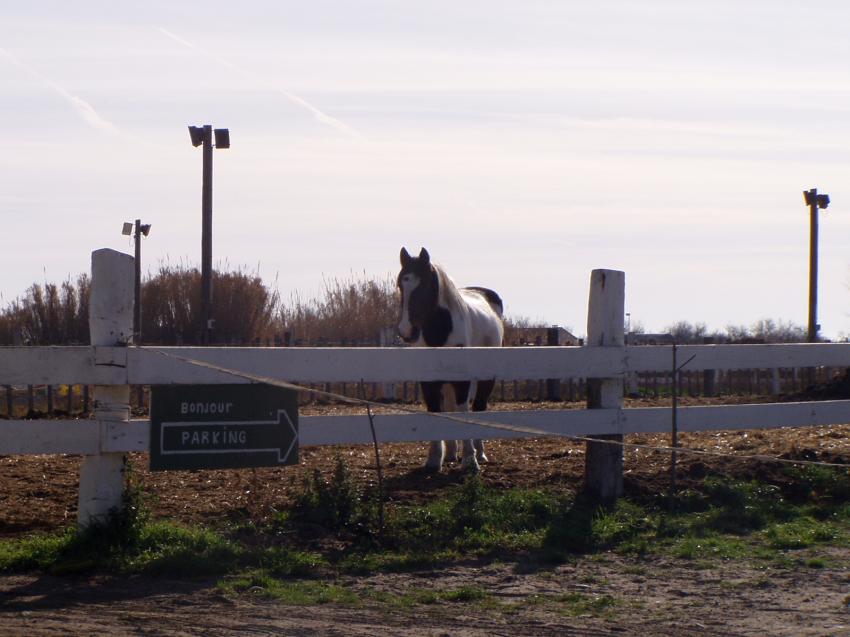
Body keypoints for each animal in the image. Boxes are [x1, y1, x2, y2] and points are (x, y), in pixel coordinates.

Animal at [397, 247, 505, 472]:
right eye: (400, 284)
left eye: (425, 285)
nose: (406, 331)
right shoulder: (429, 382)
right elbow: (436, 411)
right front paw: (434, 459)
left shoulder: (462, 381)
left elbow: (464, 411)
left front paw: (470, 460)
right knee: (450, 407)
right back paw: (451, 453)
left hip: (486, 379)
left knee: (478, 407)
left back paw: (480, 453)